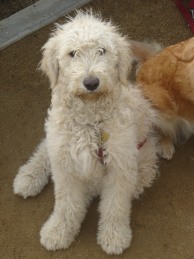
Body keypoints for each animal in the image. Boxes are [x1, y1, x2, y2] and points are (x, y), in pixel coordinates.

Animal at [12, 11, 158, 256]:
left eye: (102, 50)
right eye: (72, 53)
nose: (91, 82)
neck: (90, 122)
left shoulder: (120, 164)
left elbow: (115, 205)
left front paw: (114, 235)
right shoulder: (66, 164)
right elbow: (65, 204)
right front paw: (58, 231)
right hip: (57, 137)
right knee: (45, 148)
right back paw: (29, 176)